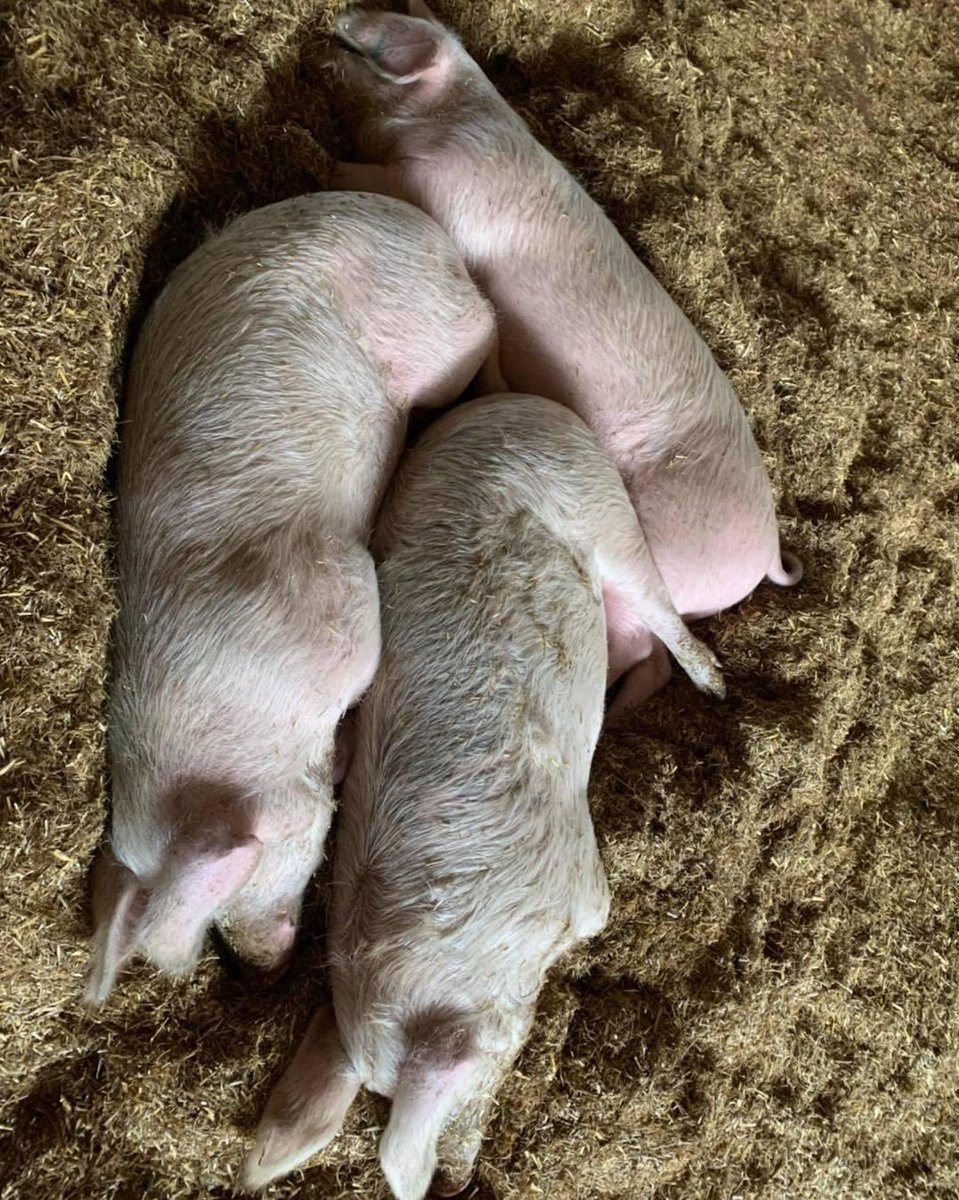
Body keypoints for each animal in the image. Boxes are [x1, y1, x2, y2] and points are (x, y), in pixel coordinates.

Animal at [84, 191, 497, 1006]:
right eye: (216, 926)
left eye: (244, 883)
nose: (265, 966)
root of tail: (413, 223)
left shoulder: (344, 608)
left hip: (436, 333)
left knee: (485, 328)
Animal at [242, 393, 723, 1200]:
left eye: (467, 1083)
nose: (459, 1174)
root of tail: (504, 410)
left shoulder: (577, 879)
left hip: (597, 501)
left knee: (659, 608)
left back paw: (717, 684)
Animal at [332, 2, 802, 708]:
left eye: (373, 48)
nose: (333, 26)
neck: (448, 121)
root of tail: (767, 556)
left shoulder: (438, 191)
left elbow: (368, 178)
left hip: (661, 550)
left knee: (647, 643)